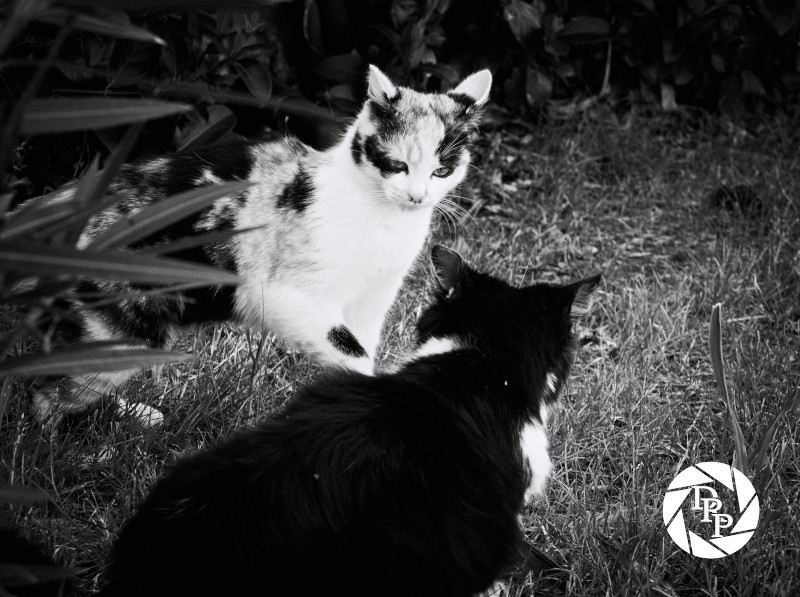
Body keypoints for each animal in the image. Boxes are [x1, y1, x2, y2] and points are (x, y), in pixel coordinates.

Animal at [27, 65, 493, 428]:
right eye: (397, 165)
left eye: (442, 170)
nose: (417, 197)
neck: (384, 220)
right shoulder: (280, 295)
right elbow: (355, 354)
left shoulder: (372, 301)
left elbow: (360, 347)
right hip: (121, 327)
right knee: (44, 395)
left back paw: (130, 417)